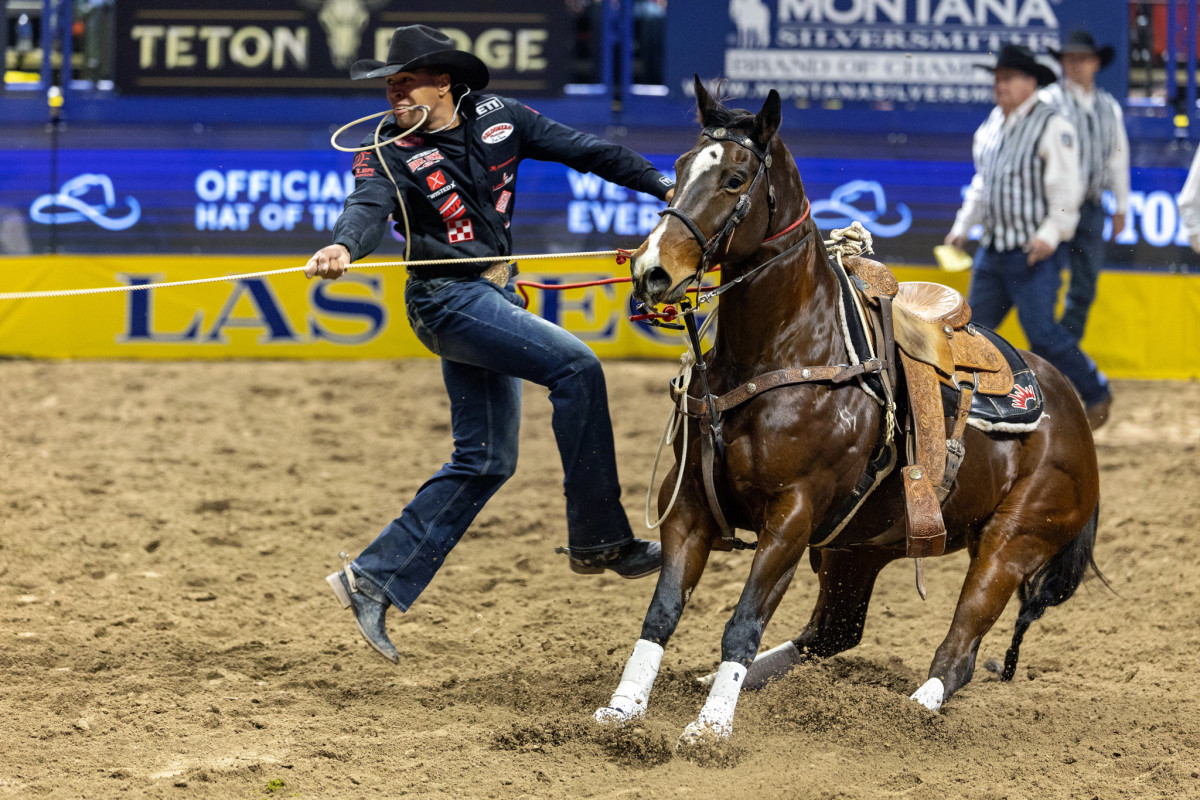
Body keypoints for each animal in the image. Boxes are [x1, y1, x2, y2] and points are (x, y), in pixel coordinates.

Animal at [595, 79, 1099, 743]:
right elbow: (662, 612)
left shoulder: (793, 513)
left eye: (734, 179)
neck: (786, 351)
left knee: (960, 649)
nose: (652, 271)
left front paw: (710, 731)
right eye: (677, 169)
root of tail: (1073, 412)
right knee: (830, 634)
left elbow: (742, 621)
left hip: (1012, 542)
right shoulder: (688, 506)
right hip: (855, 549)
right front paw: (622, 710)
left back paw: (913, 711)